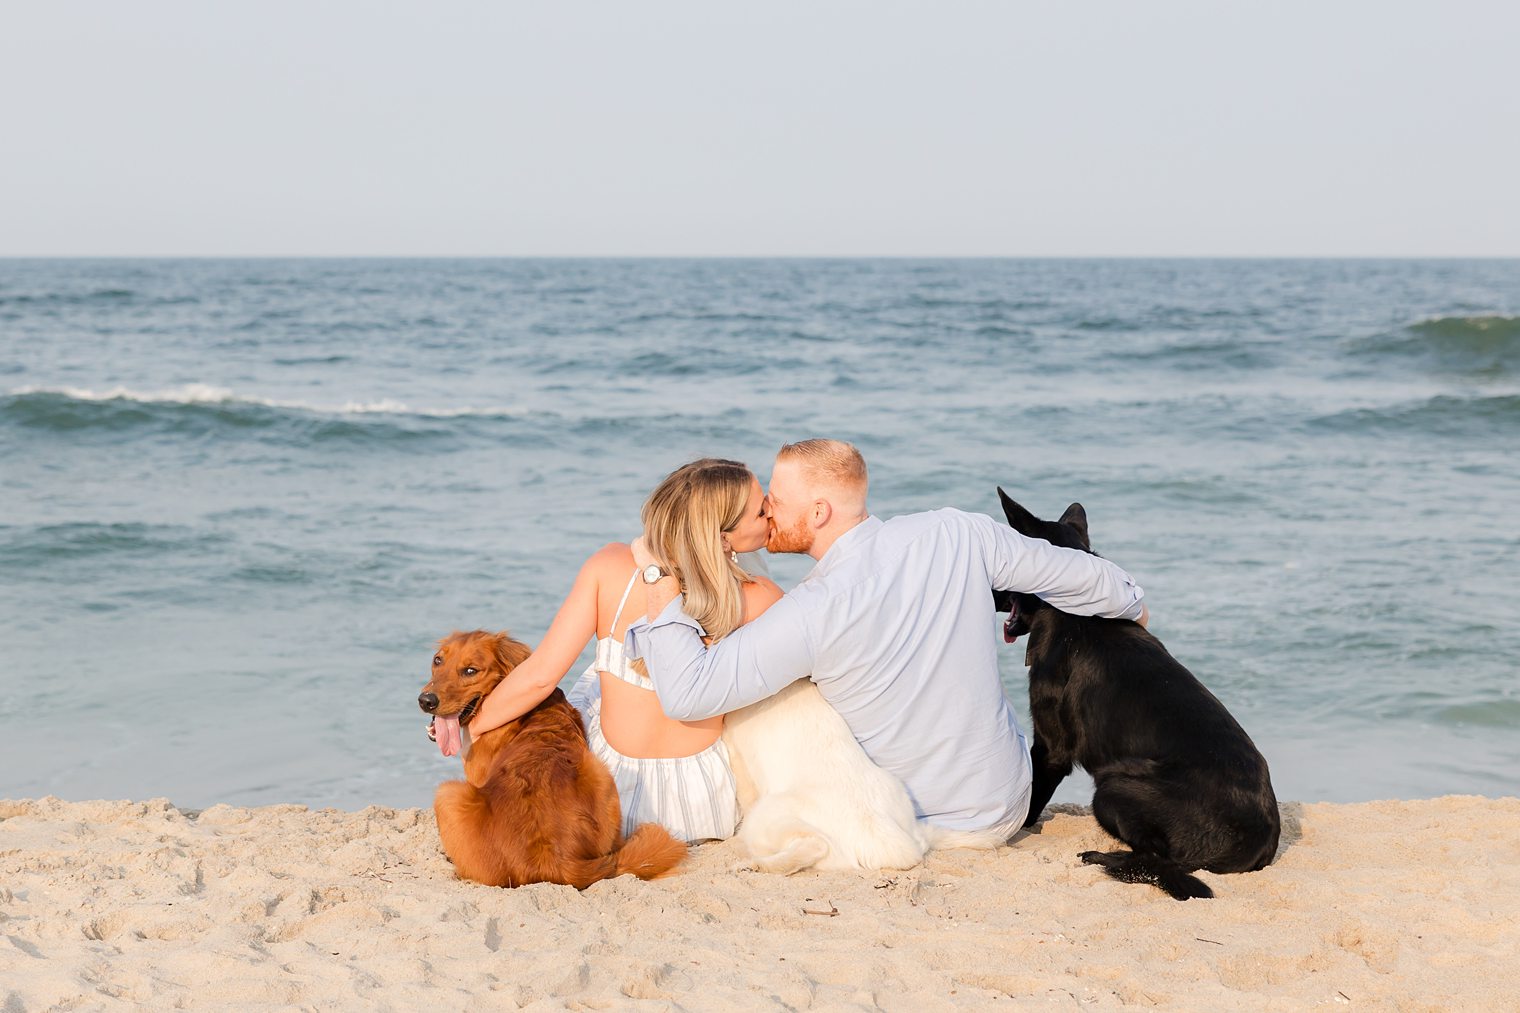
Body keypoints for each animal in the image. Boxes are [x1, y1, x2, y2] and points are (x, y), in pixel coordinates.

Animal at [997, 489, 1282, 900]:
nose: (992, 594)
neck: (1068, 608)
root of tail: (1256, 843)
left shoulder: (1051, 748)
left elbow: (1032, 797)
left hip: (1113, 785)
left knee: (1154, 859)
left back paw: (1105, 859)